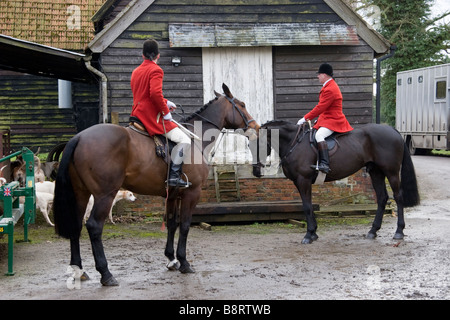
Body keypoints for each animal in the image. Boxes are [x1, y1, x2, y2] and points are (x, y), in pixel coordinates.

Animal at [53, 84, 258, 286]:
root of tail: (79, 137)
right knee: (94, 226)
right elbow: (185, 225)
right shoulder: (192, 193)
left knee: (76, 225)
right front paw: (184, 262)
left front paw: (171, 259)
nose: (255, 126)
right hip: (105, 195)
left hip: (81, 193)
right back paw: (106, 274)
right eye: (242, 104)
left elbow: (172, 223)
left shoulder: (173, 195)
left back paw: (79, 270)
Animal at [251, 121, 420, 244]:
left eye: (261, 145)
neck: (295, 143)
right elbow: (308, 205)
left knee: (398, 197)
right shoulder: (301, 182)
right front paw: (313, 232)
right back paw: (373, 231)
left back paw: (399, 232)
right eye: (249, 145)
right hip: (376, 172)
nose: (256, 172)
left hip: (391, 172)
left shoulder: (303, 180)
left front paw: (308, 235)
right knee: (382, 198)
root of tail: (392, 129)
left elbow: (306, 206)